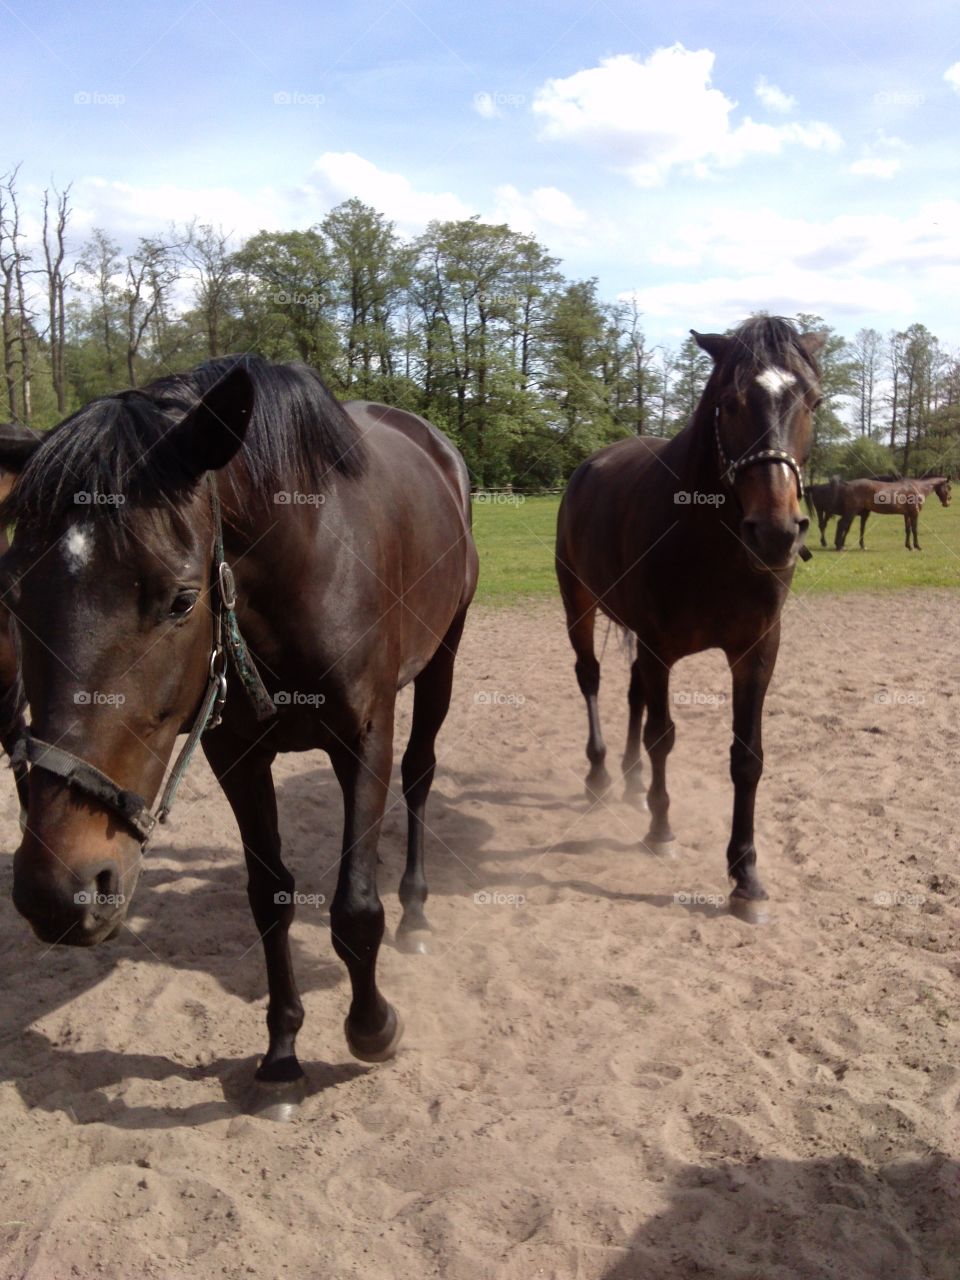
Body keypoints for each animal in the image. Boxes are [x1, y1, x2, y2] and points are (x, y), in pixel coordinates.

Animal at [0, 358, 478, 1111]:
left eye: (181, 599)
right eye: (13, 596)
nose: (58, 890)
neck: (305, 570)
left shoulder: (364, 737)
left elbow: (354, 907)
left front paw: (373, 1026)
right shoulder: (237, 757)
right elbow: (268, 897)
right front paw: (282, 1052)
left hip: (443, 661)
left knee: (421, 775)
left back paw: (417, 914)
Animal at [560, 317, 824, 921]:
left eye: (813, 402)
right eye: (730, 402)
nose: (776, 532)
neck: (710, 541)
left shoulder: (756, 652)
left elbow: (747, 758)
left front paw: (745, 876)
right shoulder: (660, 646)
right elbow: (663, 736)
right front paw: (661, 831)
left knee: (632, 692)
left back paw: (632, 783)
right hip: (578, 602)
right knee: (591, 678)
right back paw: (600, 774)